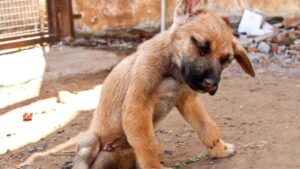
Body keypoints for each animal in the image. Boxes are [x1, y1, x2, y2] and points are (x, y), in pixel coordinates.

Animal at [72, 0, 253, 168]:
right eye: (201, 47)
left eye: (225, 61)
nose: (211, 84)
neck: (173, 71)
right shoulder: (137, 107)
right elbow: (148, 143)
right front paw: (154, 167)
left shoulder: (188, 101)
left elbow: (206, 125)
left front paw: (218, 149)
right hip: (90, 140)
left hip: (126, 153)